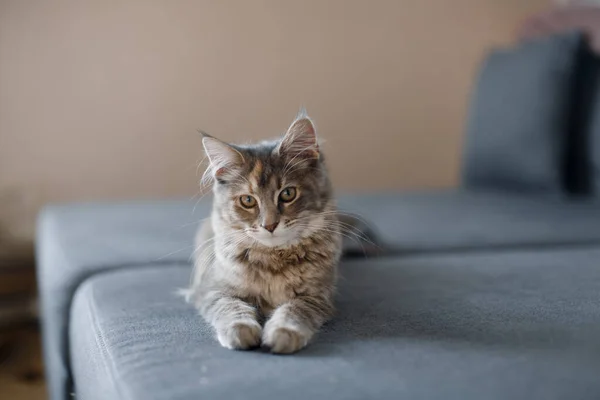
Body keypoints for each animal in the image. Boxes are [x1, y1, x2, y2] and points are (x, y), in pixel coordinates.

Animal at [188, 109, 344, 354]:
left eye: (288, 194)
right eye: (248, 200)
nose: (269, 225)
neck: (274, 261)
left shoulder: (318, 296)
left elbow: (294, 311)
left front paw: (283, 333)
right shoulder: (212, 291)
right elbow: (231, 308)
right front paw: (240, 331)